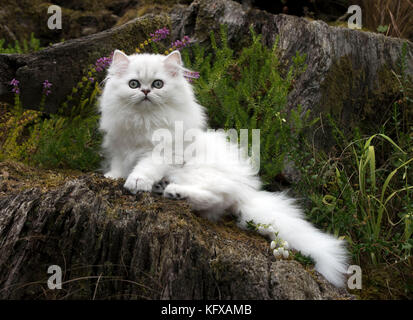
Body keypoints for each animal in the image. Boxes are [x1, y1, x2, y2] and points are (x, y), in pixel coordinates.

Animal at [99, 50, 348, 288]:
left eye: (158, 84)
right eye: (133, 84)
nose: (146, 91)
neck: (145, 120)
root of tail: (247, 191)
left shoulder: (161, 153)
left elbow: (145, 167)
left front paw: (137, 182)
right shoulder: (121, 149)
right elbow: (119, 166)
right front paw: (112, 177)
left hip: (196, 172)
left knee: (213, 197)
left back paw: (174, 192)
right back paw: (165, 189)